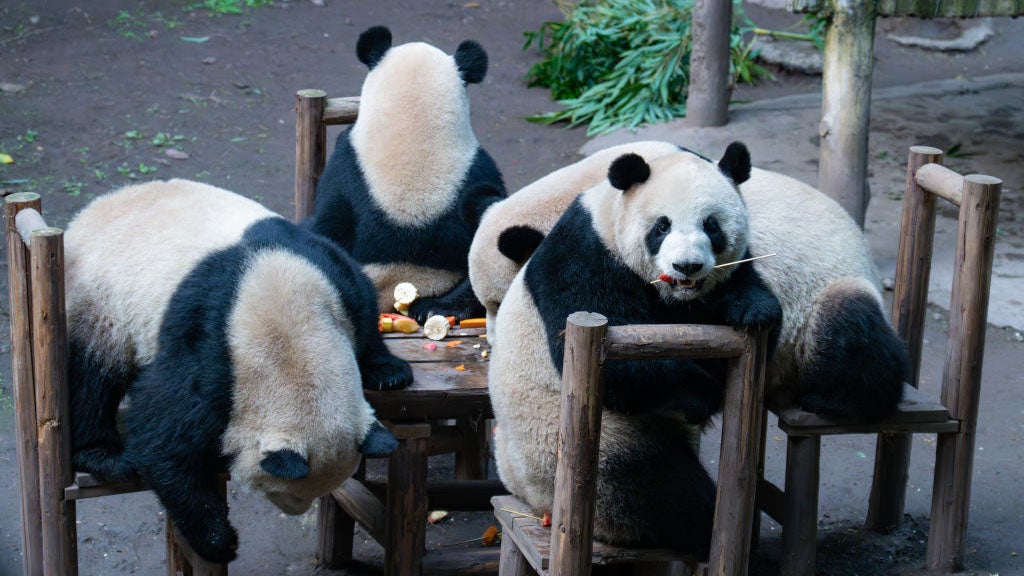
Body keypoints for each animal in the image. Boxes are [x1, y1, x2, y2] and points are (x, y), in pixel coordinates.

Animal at [65, 179, 412, 562]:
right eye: (289, 493)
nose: (294, 511)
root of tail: (90, 210)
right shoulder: (207, 352)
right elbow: (162, 436)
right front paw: (220, 541)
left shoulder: (332, 277)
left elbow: (364, 309)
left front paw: (389, 371)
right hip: (98, 301)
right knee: (91, 374)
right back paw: (105, 455)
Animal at [473, 141, 908, 421]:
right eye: (660, 227)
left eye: (712, 226)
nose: (687, 266)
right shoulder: (590, 250)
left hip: (830, 288)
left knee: (850, 329)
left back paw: (837, 401)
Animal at [488, 144, 782, 559]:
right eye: (662, 226)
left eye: (711, 225)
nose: (687, 266)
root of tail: (526, 497)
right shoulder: (585, 258)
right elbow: (623, 369)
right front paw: (703, 396)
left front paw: (753, 310)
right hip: (590, 450)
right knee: (665, 494)